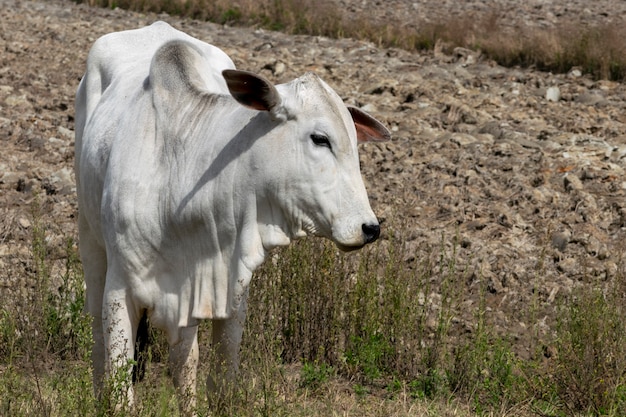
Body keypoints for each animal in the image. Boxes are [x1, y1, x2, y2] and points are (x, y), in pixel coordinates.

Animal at [75, 20, 388, 412]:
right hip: (91, 244)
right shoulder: (120, 290)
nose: (370, 227)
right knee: (97, 342)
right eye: (320, 138)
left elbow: (213, 371)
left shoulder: (228, 287)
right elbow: (121, 376)